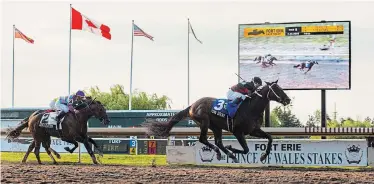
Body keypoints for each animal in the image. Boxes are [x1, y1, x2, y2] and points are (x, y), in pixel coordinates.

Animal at [145, 80, 290, 162]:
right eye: (277, 89)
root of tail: (192, 105)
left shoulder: (253, 130)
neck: (251, 108)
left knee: (218, 142)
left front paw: (263, 156)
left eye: (281, 88)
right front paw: (232, 149)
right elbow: (246, 149)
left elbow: (270, 138)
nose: (287, 100)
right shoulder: (238, 132)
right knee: (203, 139)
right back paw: (227, 154)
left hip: (216, 127)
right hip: (204, 122)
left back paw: (224, 154)